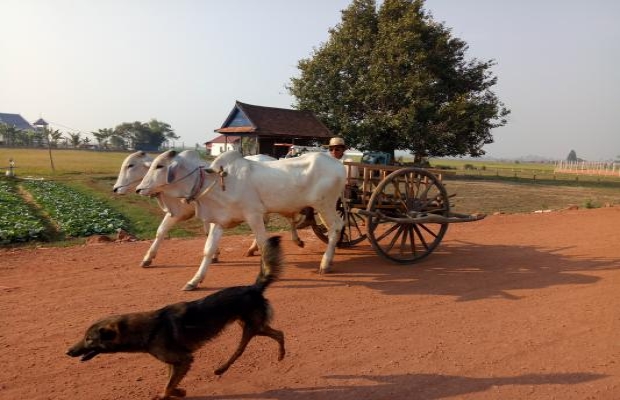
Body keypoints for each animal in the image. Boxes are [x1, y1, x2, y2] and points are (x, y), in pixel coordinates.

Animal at [66, 236, 284, 398]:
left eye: (89, 339)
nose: (68, 352)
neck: (146, 330)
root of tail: (253, 288)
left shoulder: (184, 359)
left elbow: (167, 388)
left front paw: (174, 393)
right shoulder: (174, 363)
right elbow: (169, 384)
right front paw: (179, 391)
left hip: (252, 327)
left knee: (253, 344)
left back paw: (228, 367)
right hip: (250, 325)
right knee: (276, 334)